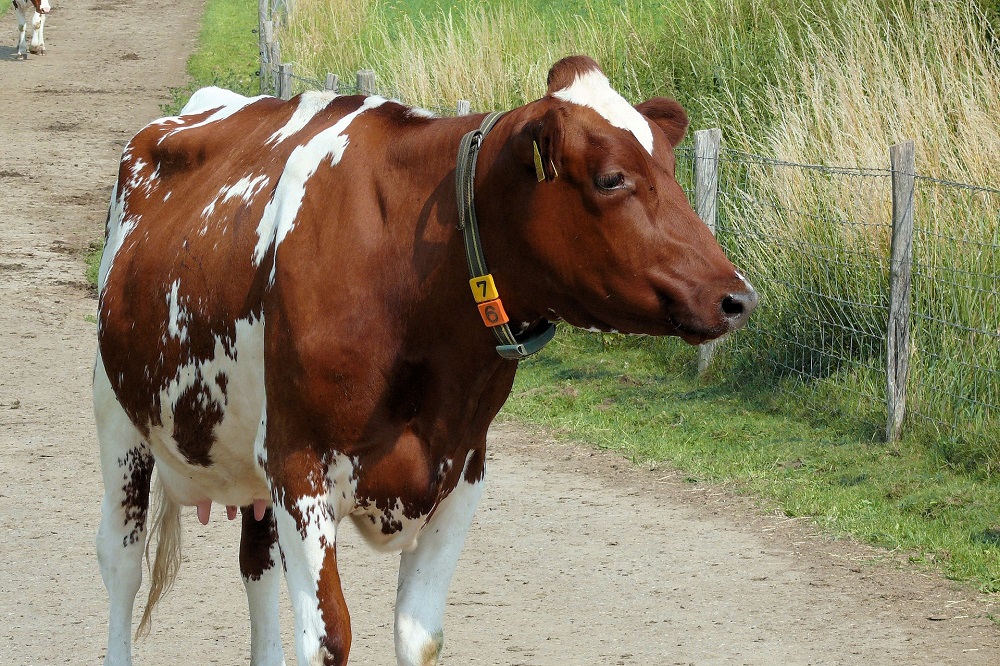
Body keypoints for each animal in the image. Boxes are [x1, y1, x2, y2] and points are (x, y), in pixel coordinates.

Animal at [95, 54, 756, 660]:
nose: (737, 298)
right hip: (120, 422)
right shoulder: (297, 463)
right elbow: (327, 638)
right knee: (121, 562)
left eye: (671, 168)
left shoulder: (463, 466)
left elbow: (420, 634)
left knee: (255, 564)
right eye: (612, 178)